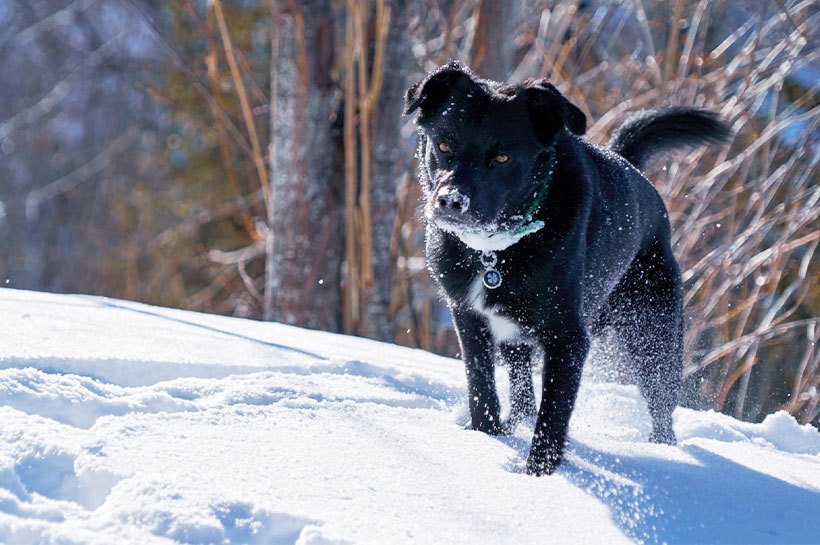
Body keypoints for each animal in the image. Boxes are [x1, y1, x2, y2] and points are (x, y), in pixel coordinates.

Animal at [404, 61, 732, 474]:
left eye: (502, 158)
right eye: (444, 147)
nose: (450, 201)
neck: (496, 251)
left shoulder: (569, 339)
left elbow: (553, 414)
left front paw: (538, 476)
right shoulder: (469, 318)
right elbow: (481, 387)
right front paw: (486, 438)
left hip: (652, 336)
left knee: (661, 408)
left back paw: (664, 451)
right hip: (516, 336)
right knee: (523, 393)